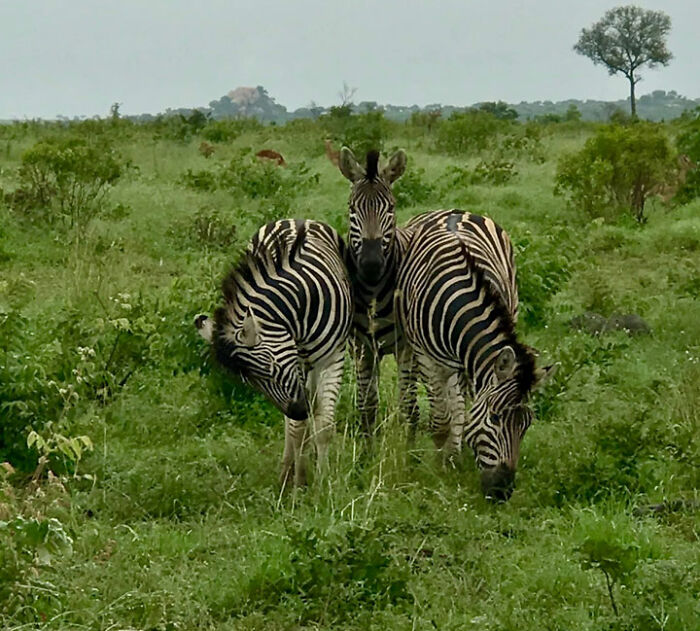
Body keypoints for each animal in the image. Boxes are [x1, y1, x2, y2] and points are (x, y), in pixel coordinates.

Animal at [195, 219, 353, 488]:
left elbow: (323, 426)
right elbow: (296, 429)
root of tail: (295, 218)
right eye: (251, 383)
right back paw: (289, 468)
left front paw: (324, 483)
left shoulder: (333, 358)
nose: (298, 410)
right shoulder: (296, 368)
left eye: (272, 368)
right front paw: (297, 482)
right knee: (294, 424)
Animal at [394, 220, 557, 501]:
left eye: (526, 425)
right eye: (495, 418)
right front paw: (438, 469)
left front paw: (454, 457)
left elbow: (462, 411)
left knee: (459, 403)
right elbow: (440, 420)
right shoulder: (428, 360)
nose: (502, 491)